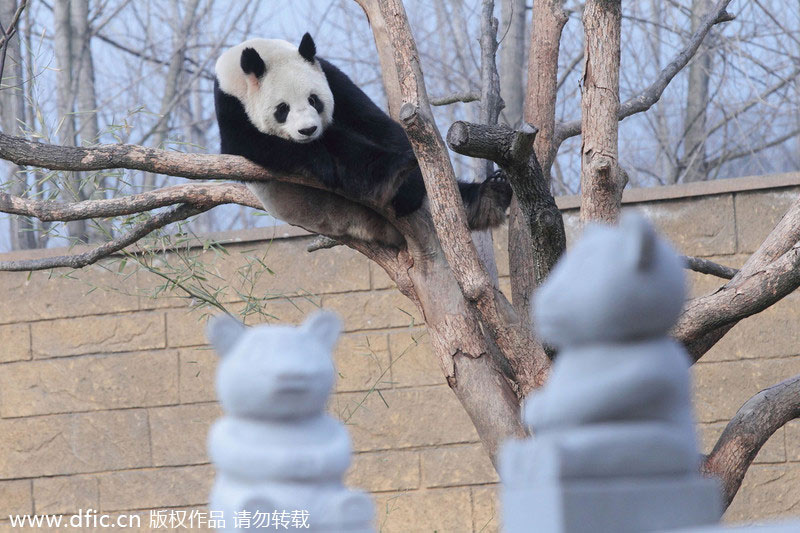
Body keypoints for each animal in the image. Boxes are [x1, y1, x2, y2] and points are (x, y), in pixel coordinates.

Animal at [214, 34, 512, 246]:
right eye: (282, 109)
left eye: (314, 100)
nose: (308, 130)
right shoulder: (231, 106)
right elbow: (251, 144)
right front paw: (320, 159)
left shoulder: (332, 77)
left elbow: (374, 121)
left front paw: (412, 181)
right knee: (345, 149)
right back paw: (389, 172)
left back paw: (489, 196)